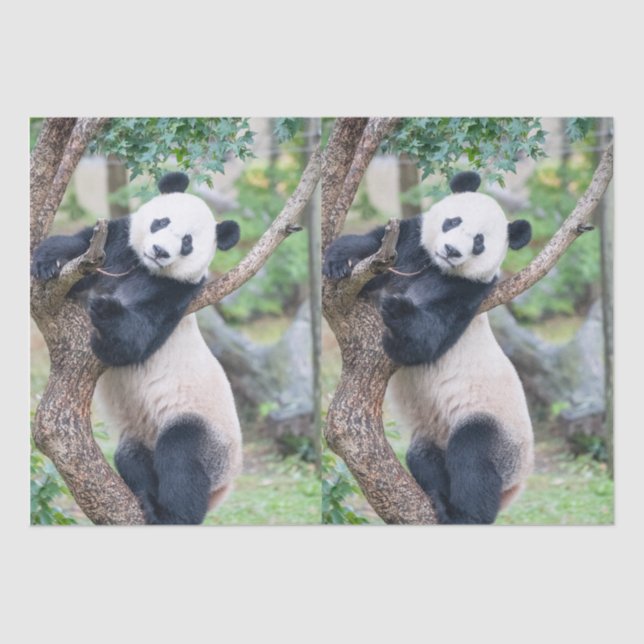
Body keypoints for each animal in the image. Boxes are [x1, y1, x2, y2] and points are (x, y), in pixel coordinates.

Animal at [32, 172, 243, 525]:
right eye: (161, 221)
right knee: (130, 457)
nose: (159, 250)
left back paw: (170, 515)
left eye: (187, 242)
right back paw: (145, 496)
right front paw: (49, 260)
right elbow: (81, 247)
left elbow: (135, 340)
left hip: (208, 433)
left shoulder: (176, 293)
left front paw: (105, 311)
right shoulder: (117, 248)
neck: (145, 268)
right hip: (139, 435)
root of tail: (223, 489)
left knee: (182, 457)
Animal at [323, 171, 534, 524]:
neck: (436, 267)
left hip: (498, 430)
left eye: (479, 242)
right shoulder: (408, 246)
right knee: (423, 457)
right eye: (453, 221)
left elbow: (426, 339)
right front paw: (340, 260)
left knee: (473, 457)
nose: (451, 249)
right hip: (432, 434)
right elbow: (373, 245)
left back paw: (464, 515)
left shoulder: (469, 293)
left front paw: (397, 311)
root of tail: (515, 487)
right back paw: (437, 497)